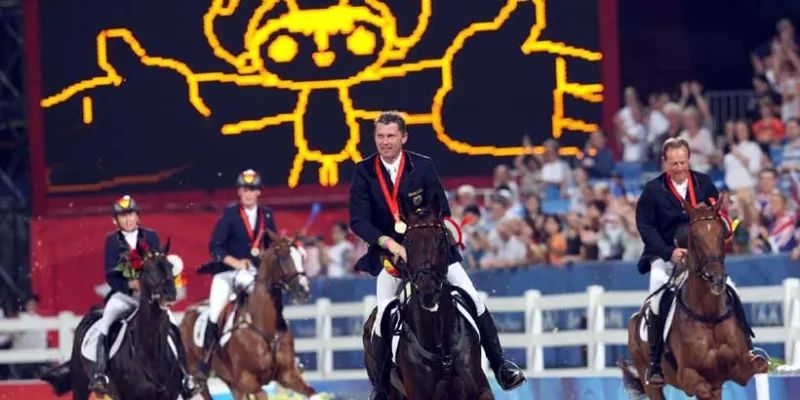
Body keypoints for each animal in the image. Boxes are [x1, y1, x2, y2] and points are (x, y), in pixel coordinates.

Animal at [179, 230, 317, 400]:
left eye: (302, 257)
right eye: (283, 257)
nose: (304, 290)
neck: (264, 325)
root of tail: (187, 313)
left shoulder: (287, 374)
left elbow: (312, 392)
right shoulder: (246, 379)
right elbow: (262, 393)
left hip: (229, 380)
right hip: (198, 375)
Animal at [622, 197, 769, 400]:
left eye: (721, 234)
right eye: (695, 236)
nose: (716, 279)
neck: (709, 315)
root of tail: (636, 317)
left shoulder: (736, 370)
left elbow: (761, 366)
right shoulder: (690, 378)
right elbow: (701, 387)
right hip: (650, 381)